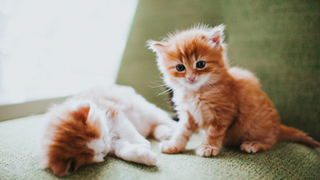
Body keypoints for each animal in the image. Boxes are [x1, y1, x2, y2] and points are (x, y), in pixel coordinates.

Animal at [39, 85, 178, 176]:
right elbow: (124, 150)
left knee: (166, 120)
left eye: (103, 137)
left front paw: (142, 144)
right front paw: (145, 156)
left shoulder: (112, 110)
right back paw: (164, 133)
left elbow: (127, 130)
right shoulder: (114, 144)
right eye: (98, 154)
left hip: (146, 110)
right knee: (154, 126)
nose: (106, 148)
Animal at [148, 24, 320, 157]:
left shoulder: (224, 112)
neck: (196, 92)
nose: (191, 77)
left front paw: (208, 147)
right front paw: (174, 145)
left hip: (255, 125)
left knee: (271, 141)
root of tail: (278, 125)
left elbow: (213, 132)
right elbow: (181, 131)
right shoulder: (188, 114)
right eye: (180, 67)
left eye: (201, 64)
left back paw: (254, 144)